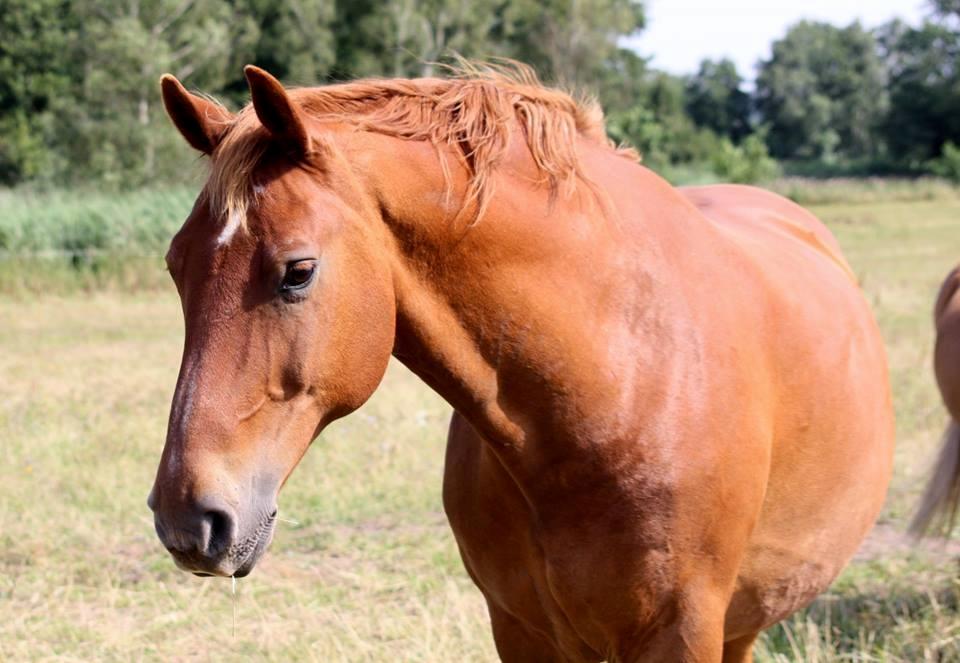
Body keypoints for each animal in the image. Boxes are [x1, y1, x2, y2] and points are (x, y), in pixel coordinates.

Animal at [148, 63, 892, 663]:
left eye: (297, 272)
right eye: (176, 267)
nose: (188, 519)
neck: (619, 386)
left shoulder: (682, 632)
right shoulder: (520, 628)